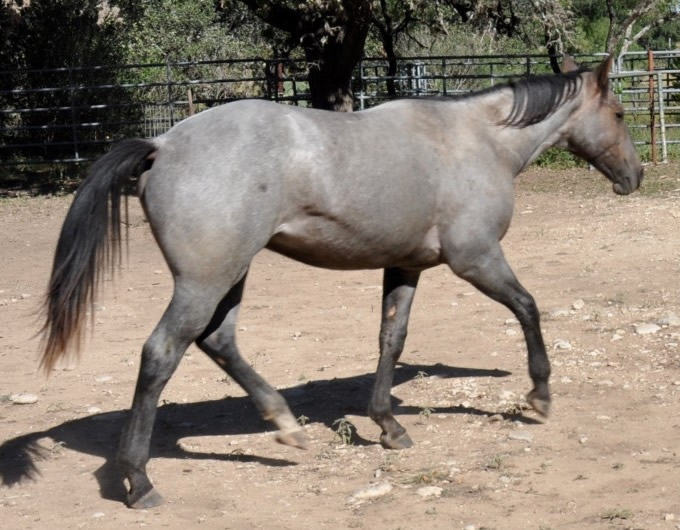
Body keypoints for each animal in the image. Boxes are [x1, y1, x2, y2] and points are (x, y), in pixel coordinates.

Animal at [41, 54, 644, 508]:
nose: (635, 177)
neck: (477, 140)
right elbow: (528, 307)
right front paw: (540, 394)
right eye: (617, 112)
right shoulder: (476, 257)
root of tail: (162, 145)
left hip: (229, 275)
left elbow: (391, 338)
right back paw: (140, 481)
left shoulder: (406, 265)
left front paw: (389, 426)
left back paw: (287, 424)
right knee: (163, 352)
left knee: (218, 340)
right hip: (206, 279)